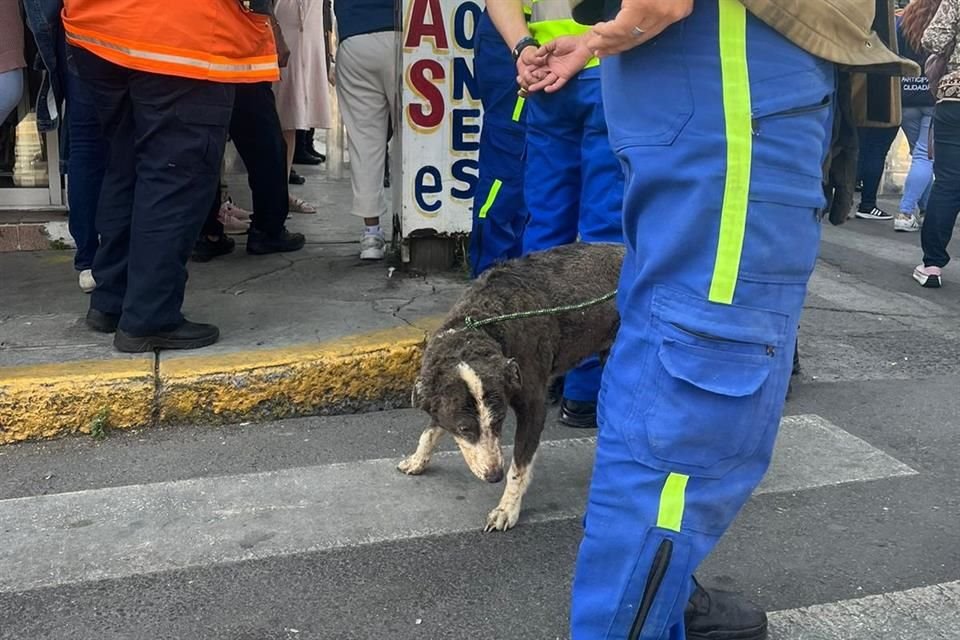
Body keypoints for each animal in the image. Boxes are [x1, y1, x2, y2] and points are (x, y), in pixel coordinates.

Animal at [396, 242, 624, 532]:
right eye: (464, 429)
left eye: (500, 420)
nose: (494, 476)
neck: (481, 325)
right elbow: (430, 431)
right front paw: (417, 461)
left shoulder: (533, 407)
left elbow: (519, 467)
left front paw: (507, 509)